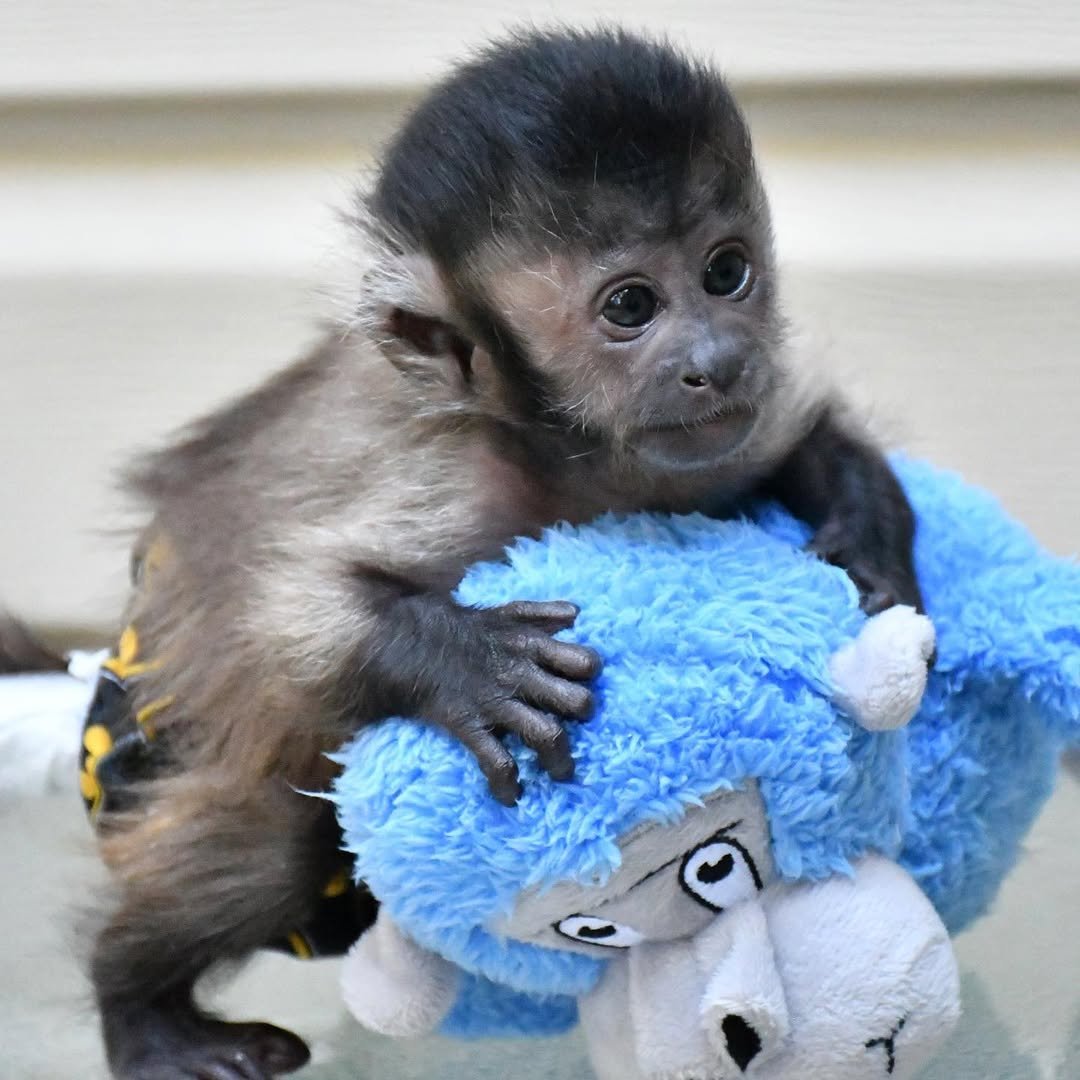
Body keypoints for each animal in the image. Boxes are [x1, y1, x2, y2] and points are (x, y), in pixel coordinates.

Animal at [79, 28, 925, 1080]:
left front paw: (871, 540)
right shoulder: (458, 471)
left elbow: (800, 436)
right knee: (271, 840)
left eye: (727, 272)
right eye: (631, 305)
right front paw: (473, 666)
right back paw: (140, 1007)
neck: (573, 460)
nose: (719, 360)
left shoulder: (715, 434)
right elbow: (274, 617)